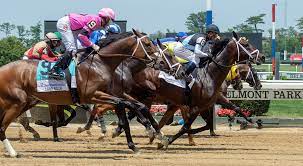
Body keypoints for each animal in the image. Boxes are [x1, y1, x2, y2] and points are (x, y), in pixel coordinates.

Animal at [0, 28, 157, 157]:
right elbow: (121, 105)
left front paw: (138, 141)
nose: (157, 60)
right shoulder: (92, 95)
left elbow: (124, 107)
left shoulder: (111, 94)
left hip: (24, 102)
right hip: (18, 103)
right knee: (2, 127)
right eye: (147, 44)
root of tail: (2, 68)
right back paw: (14, 152)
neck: (100, 63)